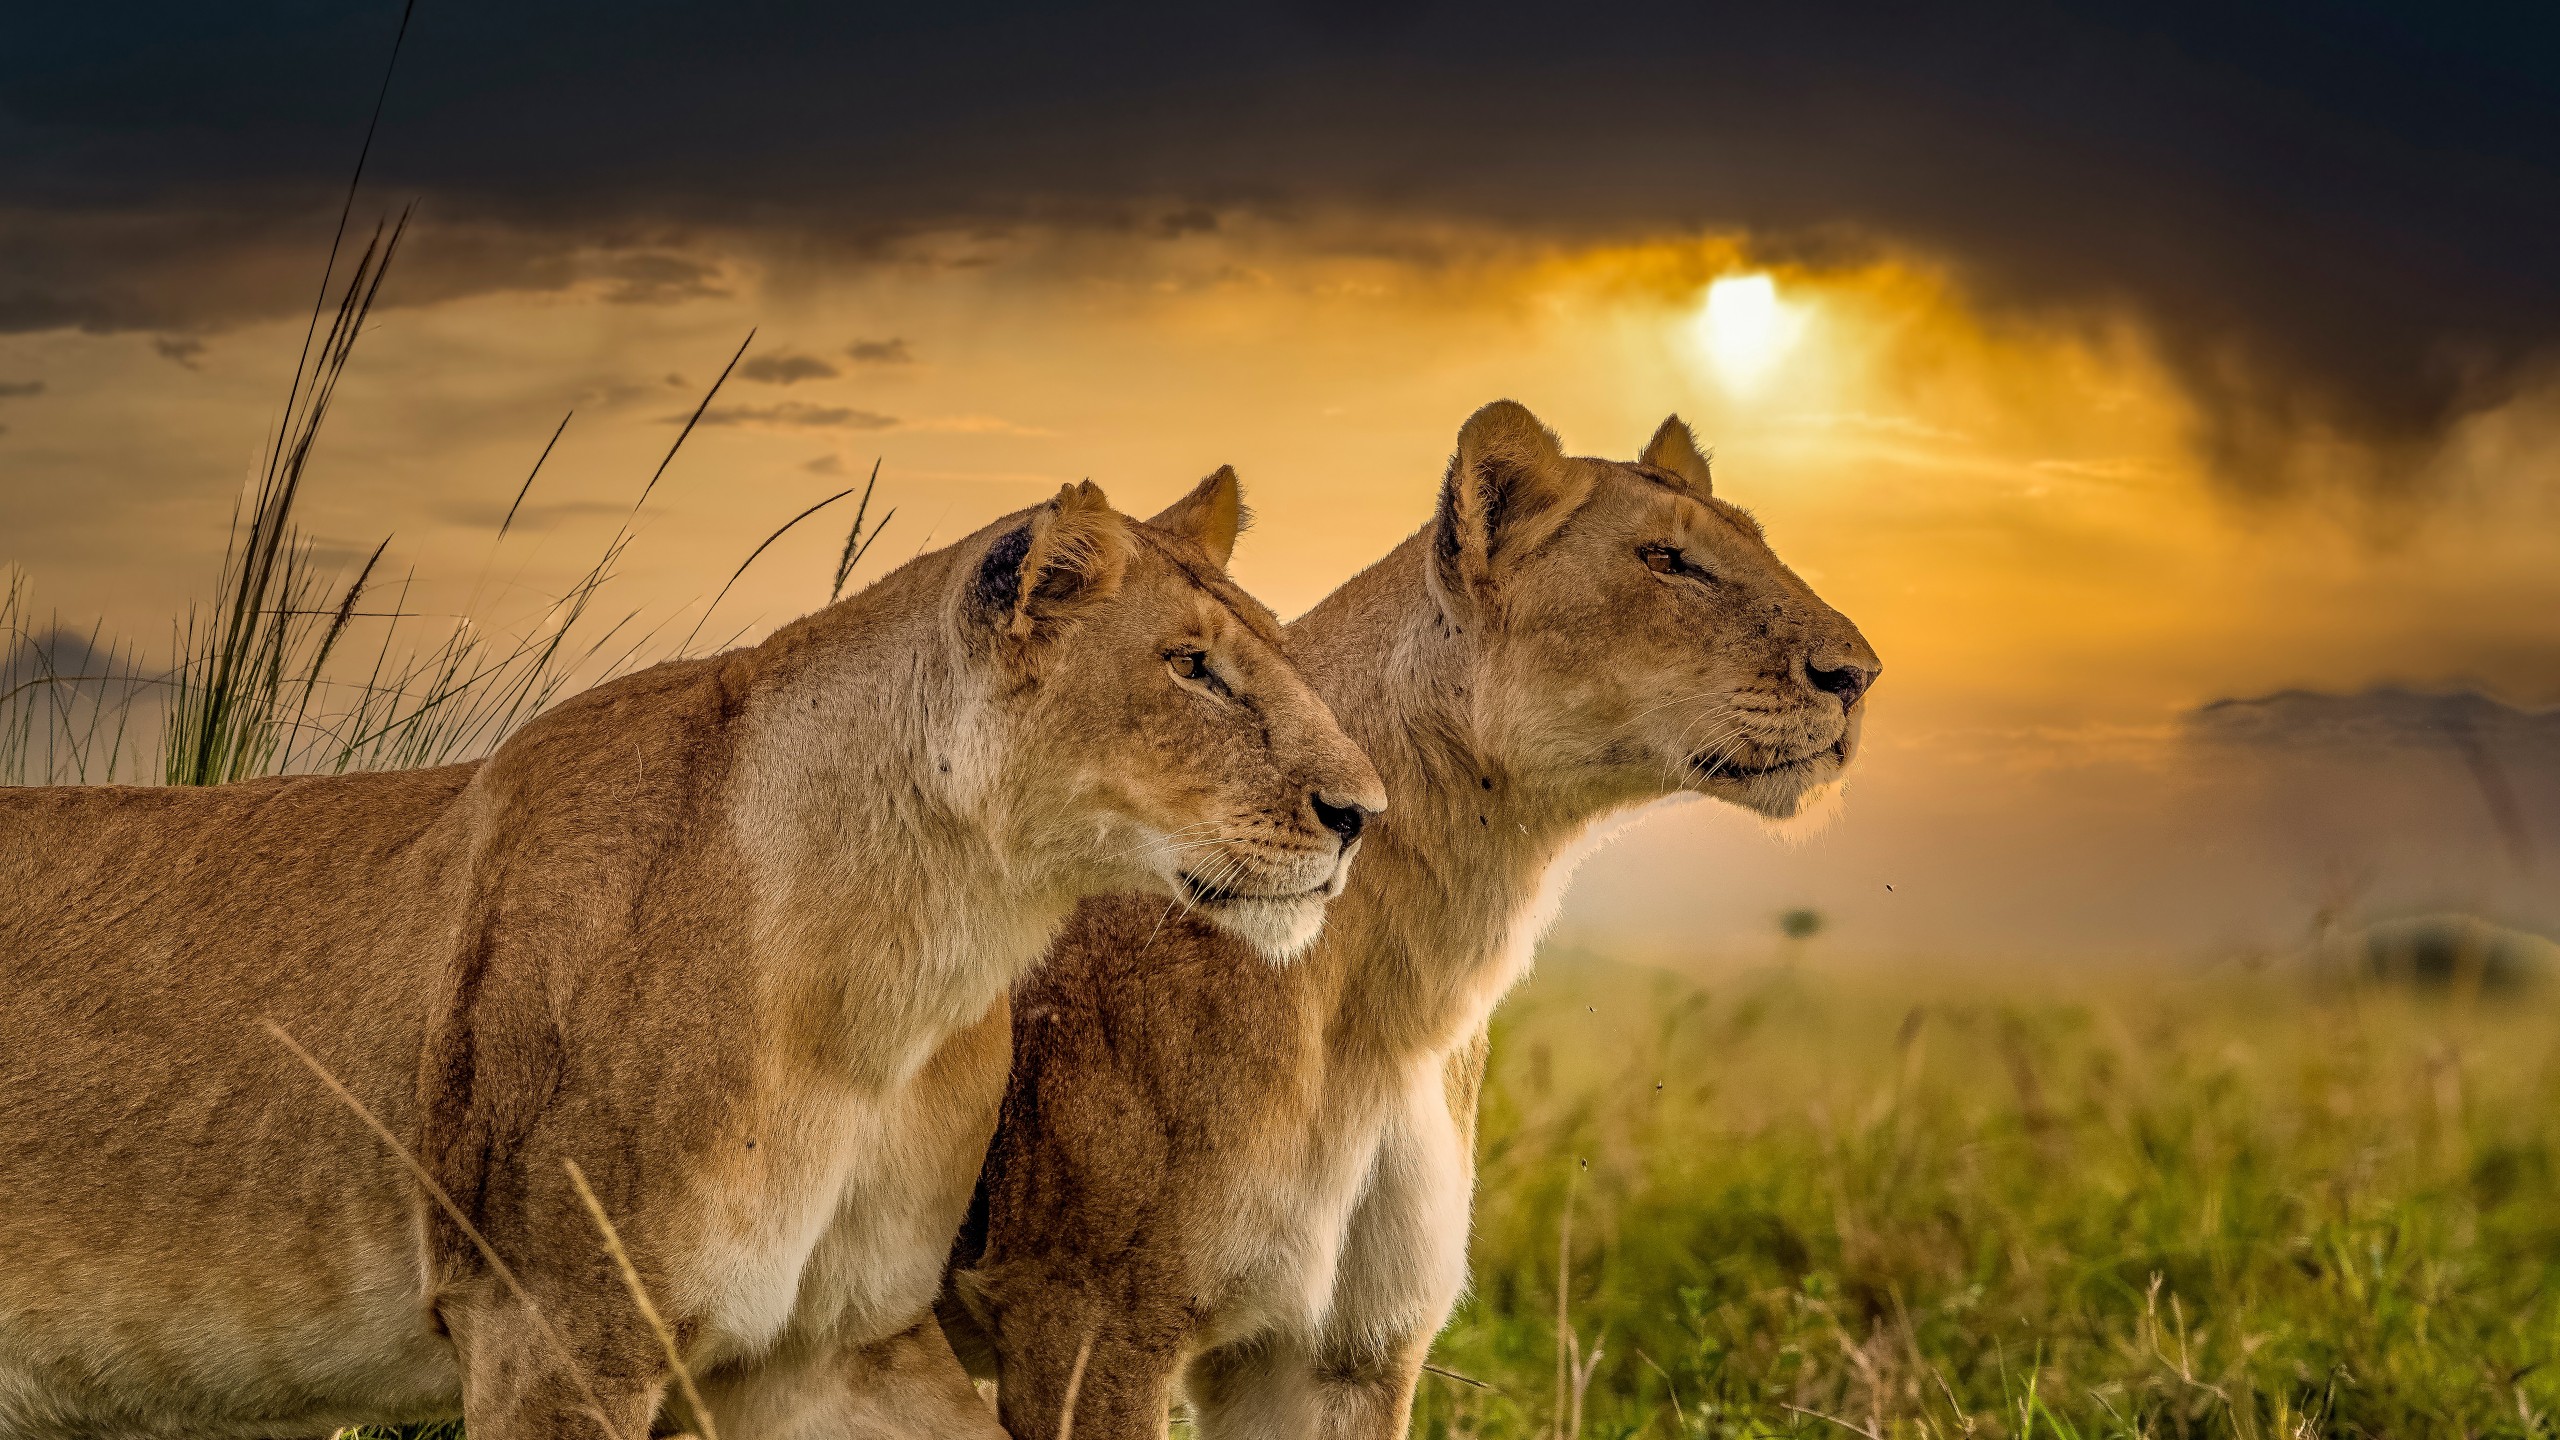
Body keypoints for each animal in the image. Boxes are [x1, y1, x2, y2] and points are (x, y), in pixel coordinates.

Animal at [0, 473, 1384, 1440]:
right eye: (1191, 666)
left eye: (1274, 650)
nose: (1363, 813)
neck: (894, 984)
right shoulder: (553, 1324)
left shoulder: (833, 1346)